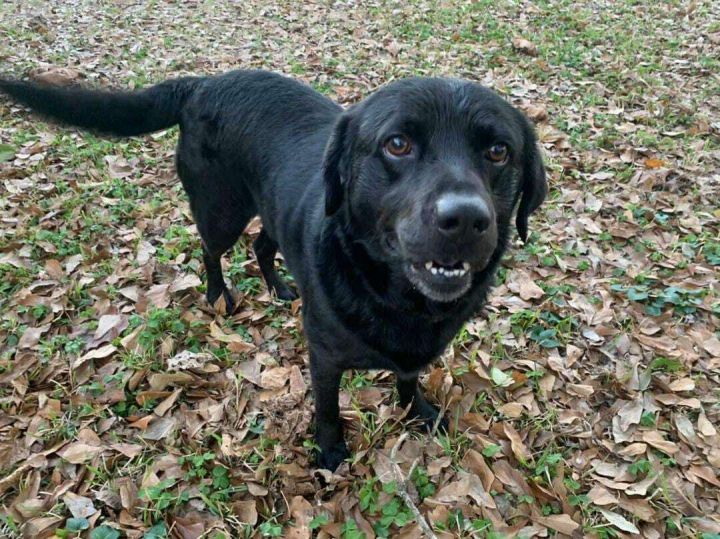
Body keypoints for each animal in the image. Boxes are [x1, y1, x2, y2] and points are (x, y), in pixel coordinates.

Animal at [0, 69, 544, 470]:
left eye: (499, 151)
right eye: (397, 144)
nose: (465, 218)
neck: (395, 296)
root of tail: (202, 82)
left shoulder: (416, 351)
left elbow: (408, 378)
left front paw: (418, 410)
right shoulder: (324, 356)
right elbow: (327, 408)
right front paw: (330, 451)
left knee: (262, 245)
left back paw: (281, 286)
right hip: (221, 209)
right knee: (211, 250)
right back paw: (218, 295)